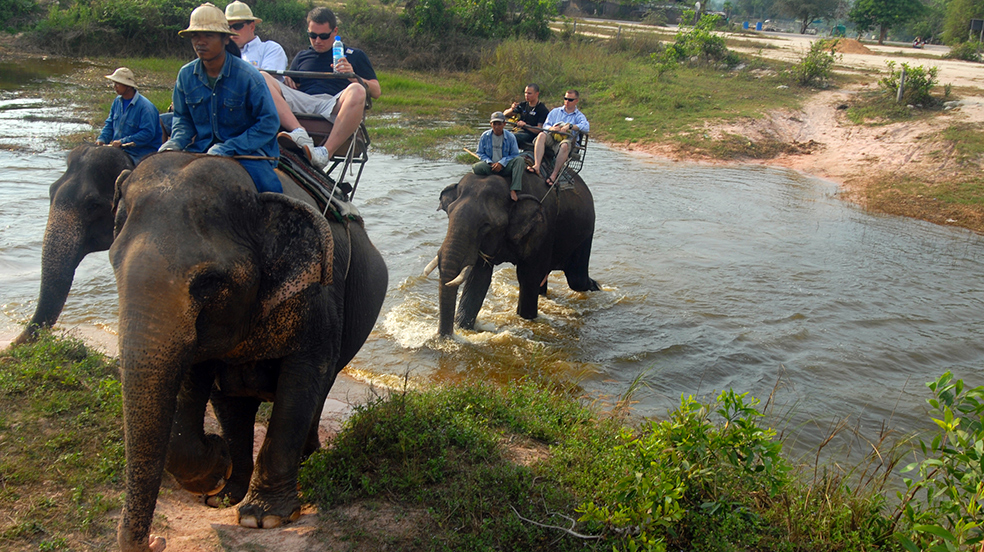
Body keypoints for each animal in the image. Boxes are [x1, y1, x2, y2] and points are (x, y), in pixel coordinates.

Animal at [110, 151, 387, 552]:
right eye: (113, 262)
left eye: (210, 282)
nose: (156, 541)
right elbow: (195, 378)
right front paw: (216, 469)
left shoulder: (319, 297)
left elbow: (303, 380)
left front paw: (263, 519)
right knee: (233, 404)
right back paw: (227, 494)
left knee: (319, 390)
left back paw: (306, 465)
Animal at [429, 171, 600, 337]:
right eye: (449, 213)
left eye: (486, 225)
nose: (445, 336)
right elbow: (478, 277)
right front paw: (463, 328)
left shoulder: (542, 229)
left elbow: (528, 276)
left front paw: (526, 319)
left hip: (586, 231)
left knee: (576, 279)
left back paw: (597, 287)